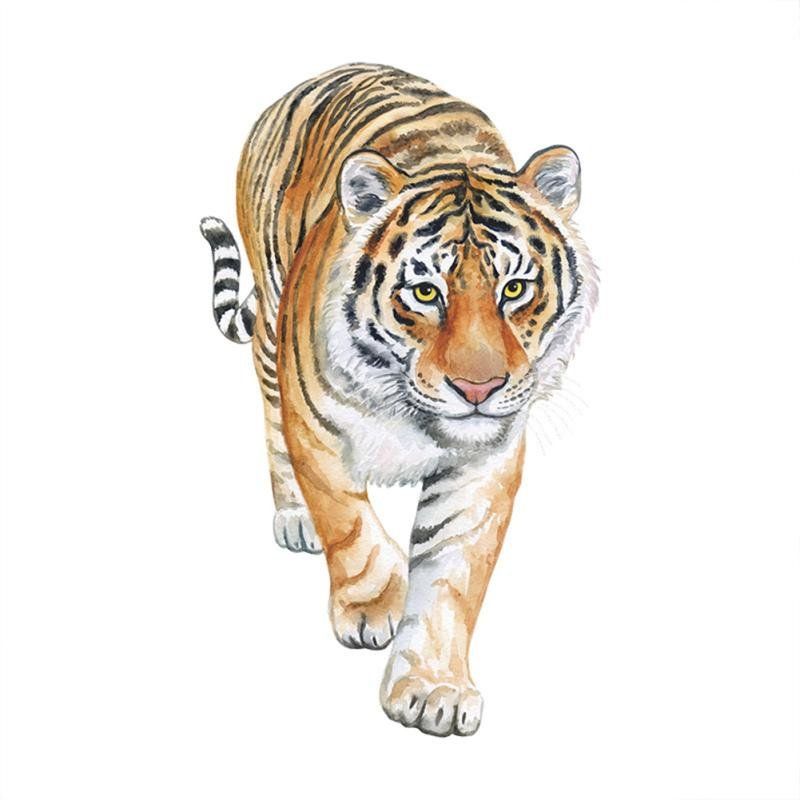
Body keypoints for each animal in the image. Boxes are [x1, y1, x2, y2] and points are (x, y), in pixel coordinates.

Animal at [199, 63, 597, 737]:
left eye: (516, 289)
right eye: (425, 292)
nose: (478, 388)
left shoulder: (483, 461)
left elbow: (451, 574)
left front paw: (434, 688)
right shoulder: (316, 428)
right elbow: (349, 525)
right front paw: (371, 607)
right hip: (273, 326)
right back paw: (295, 518)